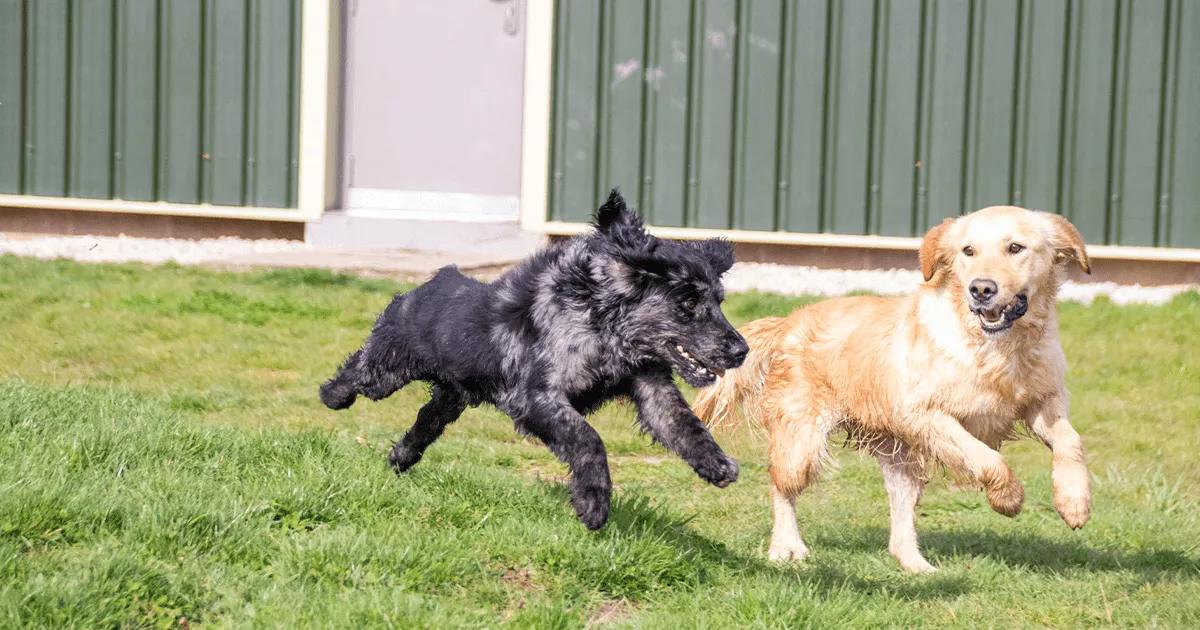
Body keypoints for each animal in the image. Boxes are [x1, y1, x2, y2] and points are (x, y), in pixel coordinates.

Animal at [324, 189, 744, 528]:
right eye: (687, 303)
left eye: (718, 301)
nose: (741, 351)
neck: (600, 324)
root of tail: (427, 284)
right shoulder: (534, 397)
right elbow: (588, 439)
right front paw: (593, 505)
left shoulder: (651, 386)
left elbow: (684, 426)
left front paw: (717, 465)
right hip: (387, 370)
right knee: (356, 370)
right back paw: (332, 397)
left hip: (451, 398)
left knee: (426, 421)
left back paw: (400, 457)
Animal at [696, 206, 1099, 568]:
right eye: (968, 251)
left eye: (1016, 247)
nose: (981, 289)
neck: (996, 348)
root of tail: (788, 321)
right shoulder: (927, 415)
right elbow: (987, 458)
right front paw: (1009, 498)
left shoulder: (1042, 399)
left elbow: (1071, 441)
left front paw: (1074, 502)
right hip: (803, 440)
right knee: (781, 485)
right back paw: (786, 547)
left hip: (904, 459)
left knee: (900, 524)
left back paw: (918, 567)